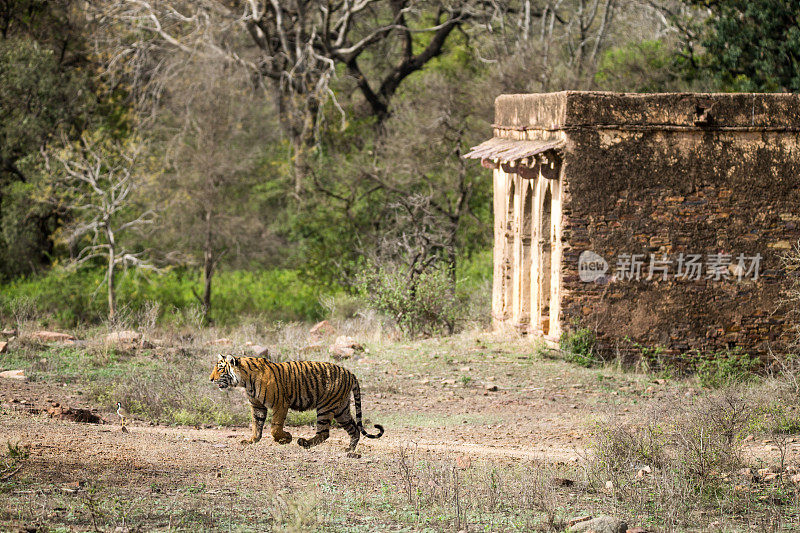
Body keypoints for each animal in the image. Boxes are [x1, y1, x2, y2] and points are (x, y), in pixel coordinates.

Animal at [209, 354, 384, 454]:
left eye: (220, 369)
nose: (210, 379)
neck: (245, 381)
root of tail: (350, 373)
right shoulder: (257, 406)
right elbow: (256, 425)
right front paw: (252, 440)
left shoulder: (280, 404)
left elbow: (275, 428)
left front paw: (286, 438)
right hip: (341, 409)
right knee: (354, 429)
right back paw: (349, 450)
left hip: (326, 406)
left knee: (324, 433)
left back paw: (304, 442)